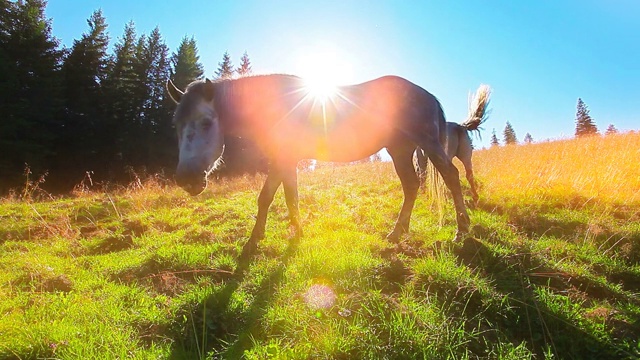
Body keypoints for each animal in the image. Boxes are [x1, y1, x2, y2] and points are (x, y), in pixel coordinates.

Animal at [168, 74, 488, 250]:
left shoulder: (285, 159)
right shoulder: (282, 160)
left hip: (429, 145)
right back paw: (398, 232)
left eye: (206, 122)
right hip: (400, 151)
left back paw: (461, 230)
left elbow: (284, 197)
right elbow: (273, 197)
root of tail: (429, 95)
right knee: (411, 186)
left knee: (451, 176)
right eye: (176, 124)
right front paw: (262, 236)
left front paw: (291, 235)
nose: (187, 179)